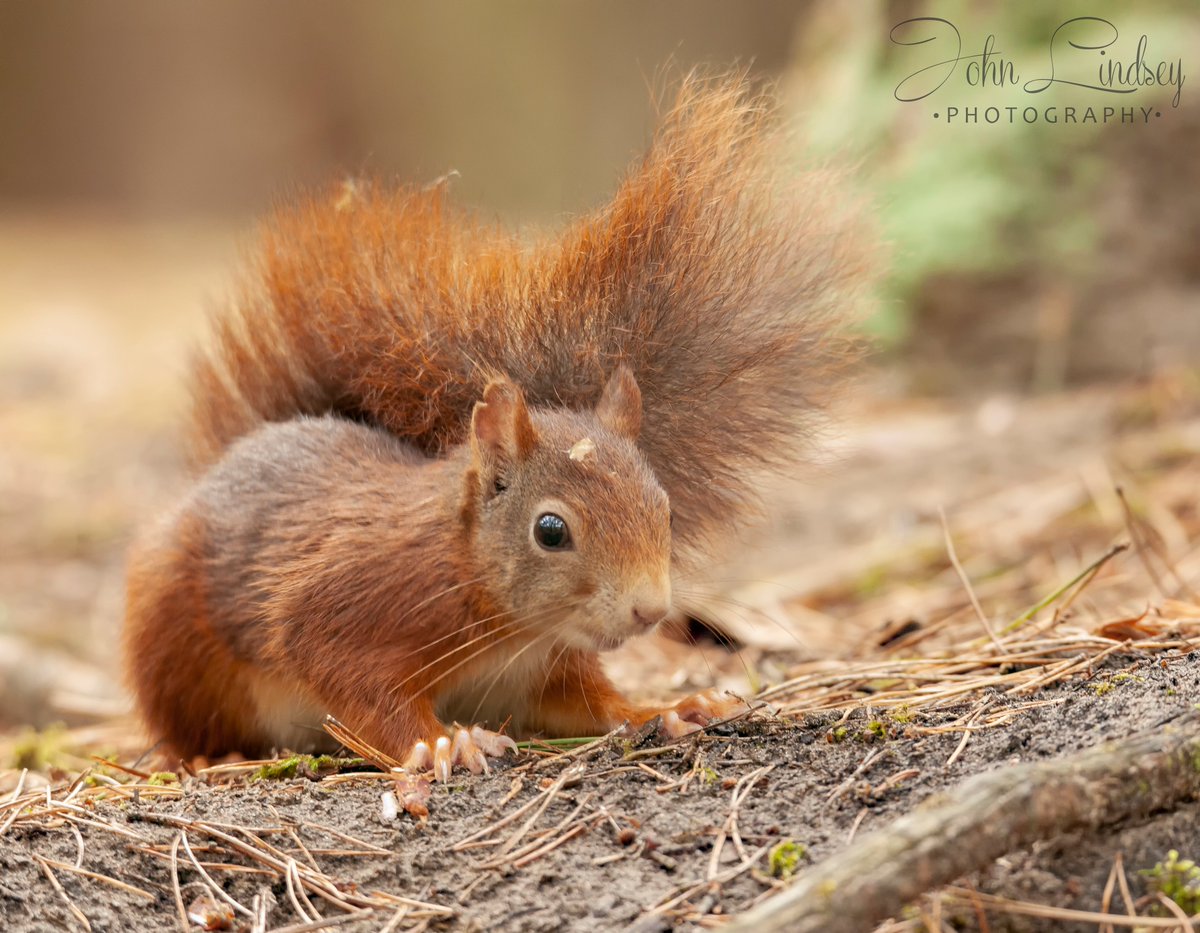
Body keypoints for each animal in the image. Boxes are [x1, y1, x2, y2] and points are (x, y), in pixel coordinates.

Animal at [121, 72, 873, 772]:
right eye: (551, 531)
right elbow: (359, 687)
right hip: (172, 638)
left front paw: (666, 707)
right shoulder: (343, 606)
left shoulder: (539, 669)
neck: (500, 614)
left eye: (663, 508)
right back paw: (203, 758)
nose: (648, 612)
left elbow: (590, 702)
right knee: (182, 717)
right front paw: (438, 743)